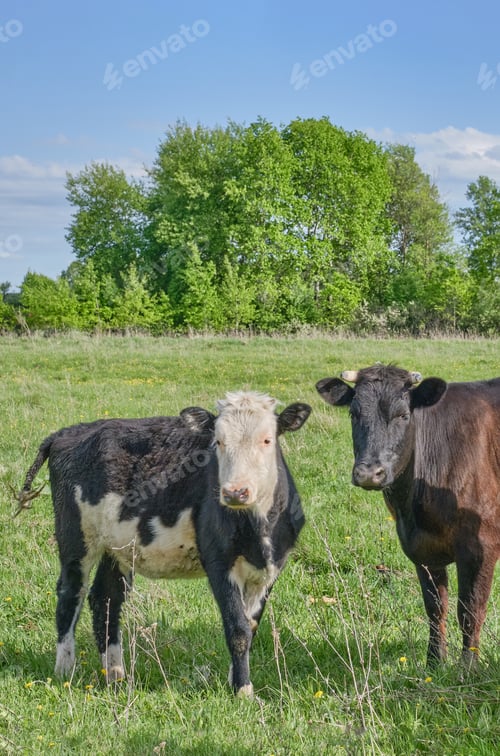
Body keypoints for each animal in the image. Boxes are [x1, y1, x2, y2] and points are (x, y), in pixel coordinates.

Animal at [17, 391, 311, 697]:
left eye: (267, 440)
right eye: (218, 441)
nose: (235, 492)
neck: (259, 530)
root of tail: (66, 432)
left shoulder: (271, 567)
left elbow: (250, 627)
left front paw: (236, 682)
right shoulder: (218, 561)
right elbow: (238, 629)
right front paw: (243, 691)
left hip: (117, 547)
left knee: (106, 598)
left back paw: (116, 676)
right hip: (75, 537)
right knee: (70, 592)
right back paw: (65, 669)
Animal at [316, 364, 500, 668]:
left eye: (403, 415)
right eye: (354, 413)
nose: (369, 473)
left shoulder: (480, 545)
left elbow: (470, 610)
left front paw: (468, 669)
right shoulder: (420, 549)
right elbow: (435, 607)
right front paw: (434, 663)